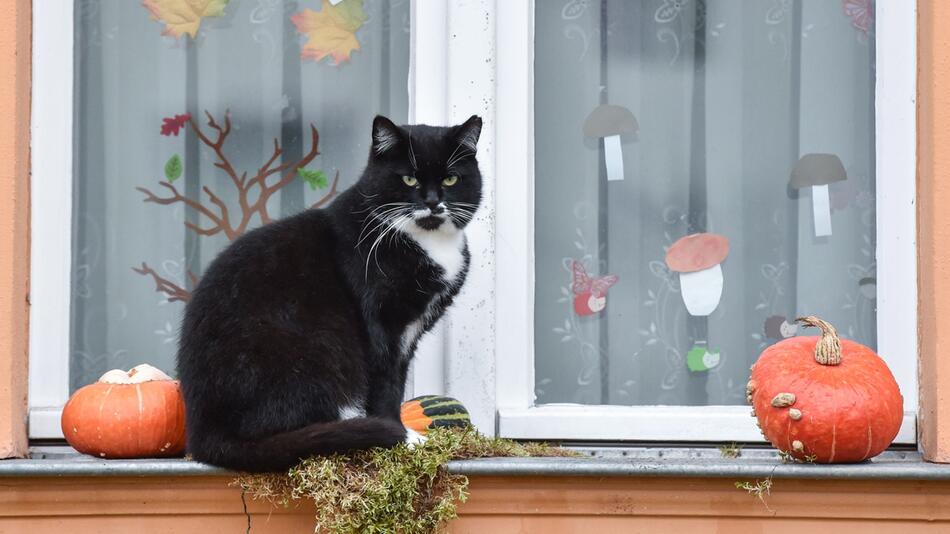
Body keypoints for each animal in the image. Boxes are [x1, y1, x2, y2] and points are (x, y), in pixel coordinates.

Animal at [178, 114, 484, 474]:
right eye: (409, 178)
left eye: (451, 178)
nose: (433, 202)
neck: (427, 243)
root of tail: (205, 435)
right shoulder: (381, 323)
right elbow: (384, 382)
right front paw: (399, 436)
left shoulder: (410, 331)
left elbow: (396, 380)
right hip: (314, 348)